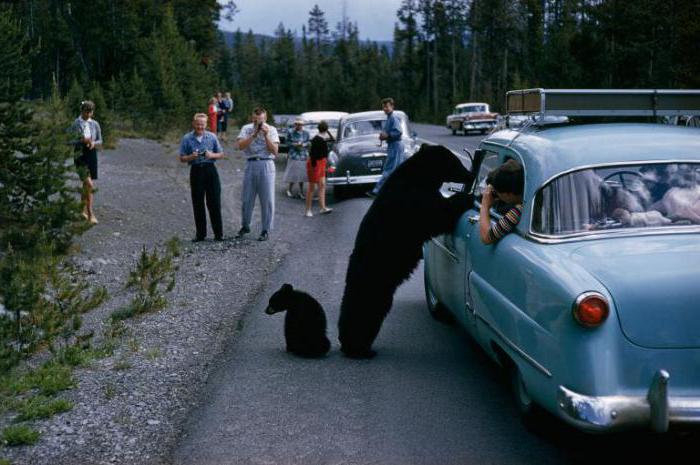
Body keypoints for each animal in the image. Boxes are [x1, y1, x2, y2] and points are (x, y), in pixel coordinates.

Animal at [338, 145, 476, 358]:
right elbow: (438, 214)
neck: (420, 177)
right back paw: (360, 349)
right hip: (375, 284)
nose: (470, 174)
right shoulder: (414, 202)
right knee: (367, 312)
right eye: (456, 162)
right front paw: (467, 198)